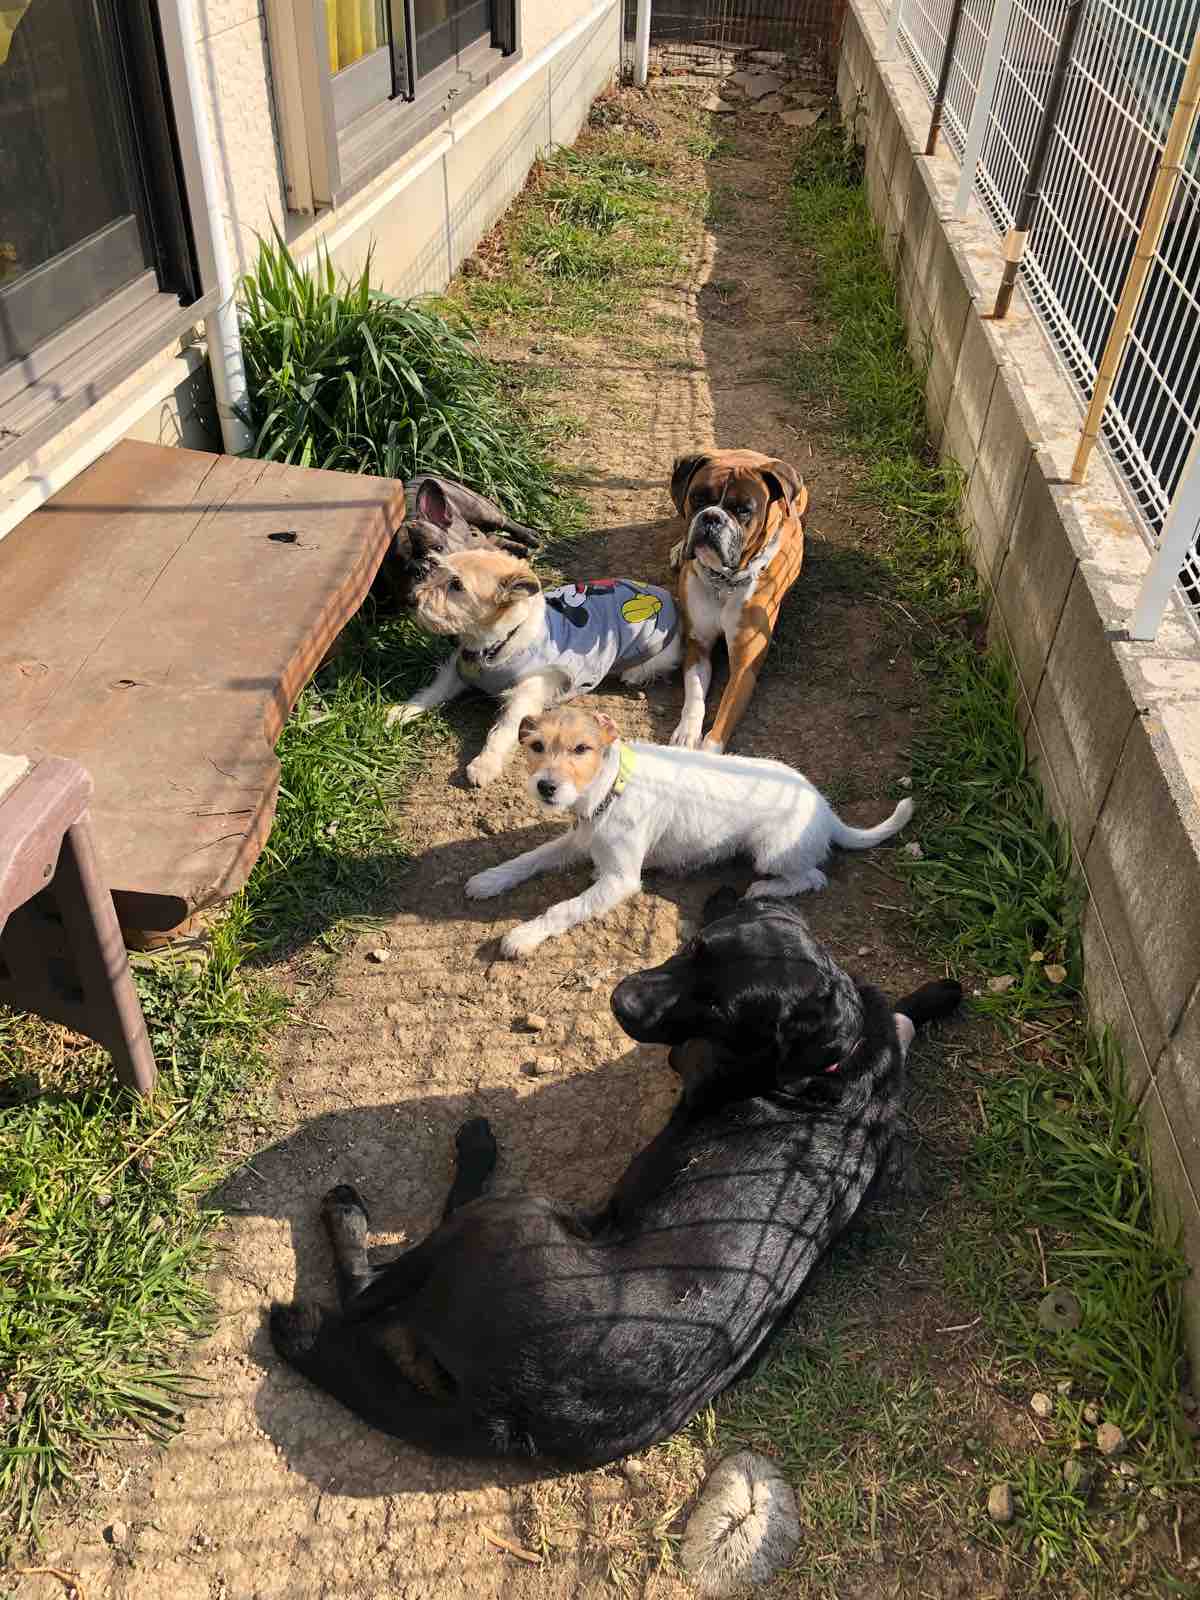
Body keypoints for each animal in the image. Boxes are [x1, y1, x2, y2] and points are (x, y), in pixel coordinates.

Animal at [269, 892, 962, 1469]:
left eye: (720, 1009)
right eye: (692, 945)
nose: (620, 1000)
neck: (831, 1068)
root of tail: (509, 1419)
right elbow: (900, 1012)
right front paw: (939, 994)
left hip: (510, 1219)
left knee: (368, 1290)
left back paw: (402, 1190)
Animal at [386, 552, 681, 787]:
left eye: (457, 585)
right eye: (436, 569)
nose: (410, 599)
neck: (494, 646)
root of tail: (670, 599)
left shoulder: (526, 694)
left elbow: (503, 730)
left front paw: (484, 764)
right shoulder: (456, 671)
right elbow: (431, 693)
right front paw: (402, 712)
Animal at [464, 707, 913, 959]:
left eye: (581, 749)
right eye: (536, 746)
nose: (546, 787)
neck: (612, 785)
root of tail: (824, 808)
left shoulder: (620, 881)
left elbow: (563, 908)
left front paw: (523, 936)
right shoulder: (577, 840)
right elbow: (530, 858)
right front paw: (489, 879)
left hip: (771, 851)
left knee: (813, 877)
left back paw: (765, 888)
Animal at [667, 449, 808, 753]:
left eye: (744, 510)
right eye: (698, 498)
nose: (712, 517)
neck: (724, 583)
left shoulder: (744, 669)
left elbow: (722, 720)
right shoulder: (698, 646)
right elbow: (695, 696)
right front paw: (686, 734)